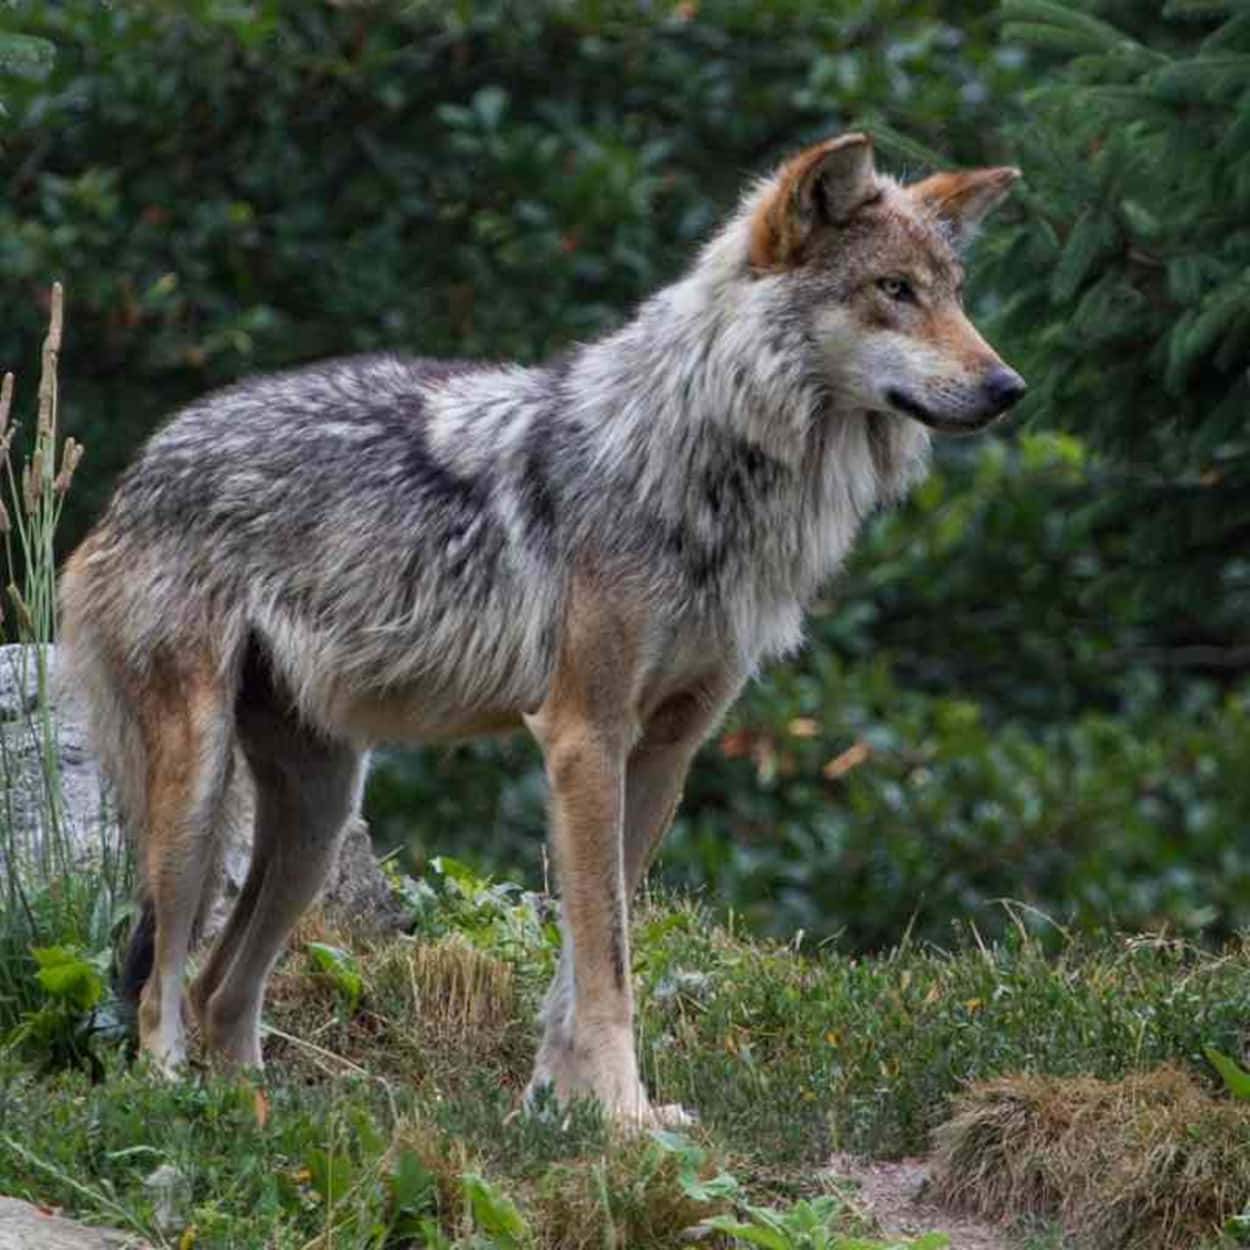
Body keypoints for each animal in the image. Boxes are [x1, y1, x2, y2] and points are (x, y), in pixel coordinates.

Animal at [60, 133, 1024, 1124]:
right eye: (893, 290)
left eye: (955, 292)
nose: (1008, 386)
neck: (701, 474)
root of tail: (143, 465)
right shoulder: (581, 735)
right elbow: (607, 960)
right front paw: (624, 1119)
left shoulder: (664, 750)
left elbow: (589, 955)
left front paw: (563, 1106)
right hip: (199, 791)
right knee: (159, 984)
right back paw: (173, 1105)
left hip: (321, 818)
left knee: (218, 986)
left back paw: (256, 1114)